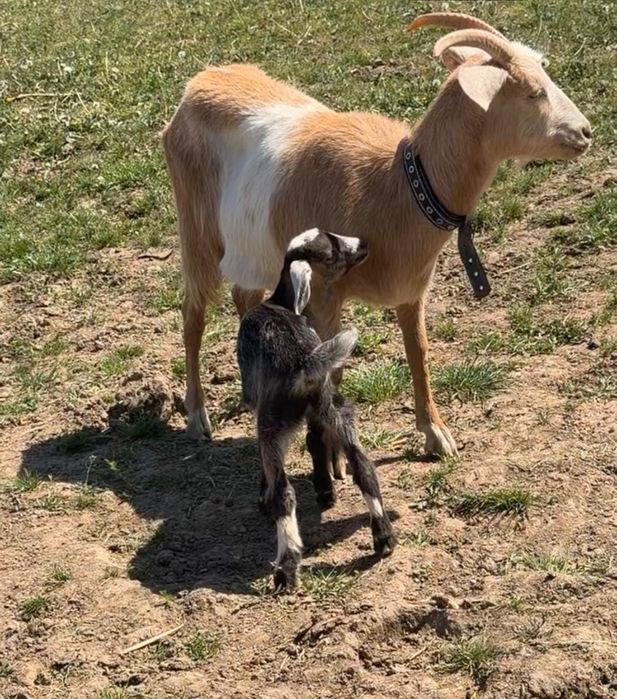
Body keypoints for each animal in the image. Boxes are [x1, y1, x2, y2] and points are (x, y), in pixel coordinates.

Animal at [162, 12, 591, 456]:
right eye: (533, 92)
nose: (585, 132)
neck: (397, 185)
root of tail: (199, 82)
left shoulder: (412, 289)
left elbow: (418, 351)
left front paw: (437, 435)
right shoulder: (325, 294)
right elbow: (331, 369)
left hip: (256, 250)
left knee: (243, 296)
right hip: (197, 233)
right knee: (192, 315)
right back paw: (197, 417)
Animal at [237, 228, 395, 588]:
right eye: (332, 247)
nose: (363, 244)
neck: (279, 302)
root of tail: (303, 360)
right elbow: (316, 441)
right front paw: (325, 488)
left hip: (271, 424)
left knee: (284, 492)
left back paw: (286, 567)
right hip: (335, 408)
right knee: (364, 466)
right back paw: (383, 536)